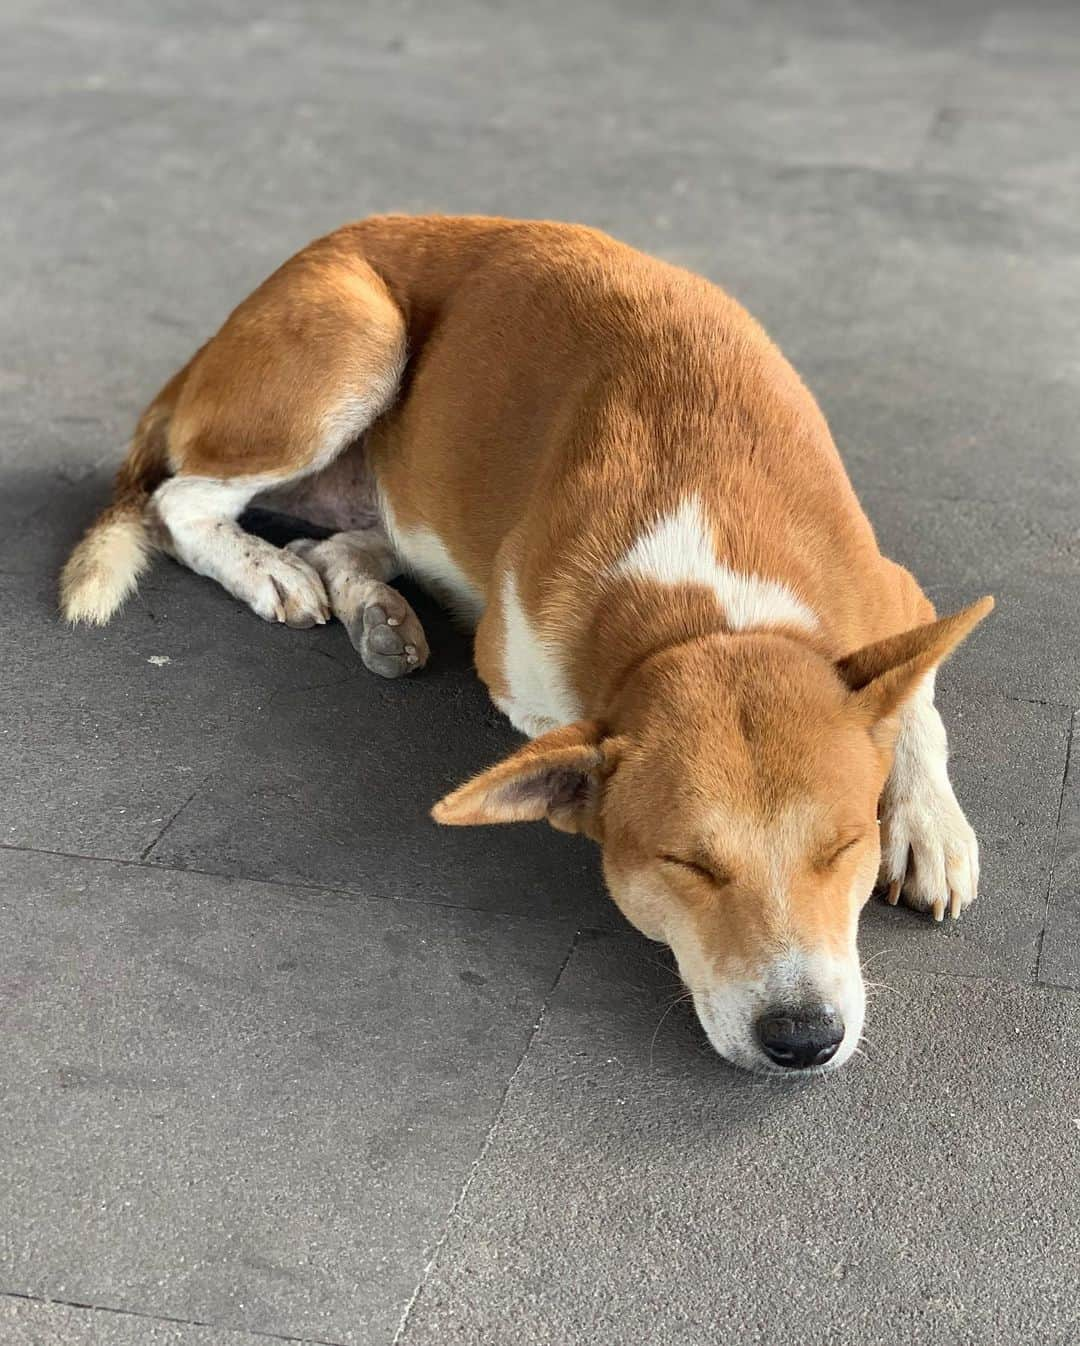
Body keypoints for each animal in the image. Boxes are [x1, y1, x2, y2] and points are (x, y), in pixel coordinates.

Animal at [56, 218, 985, 1071]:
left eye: (845, 847)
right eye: (686, 864)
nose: (803, 1039)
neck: (713, 608)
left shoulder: (895, 591)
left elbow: (915, 703)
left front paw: (927, 824)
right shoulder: (520, 668)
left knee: (337, 540)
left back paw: (375, 609)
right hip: (355, 334)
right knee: (180, 503)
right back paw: (268, 572)